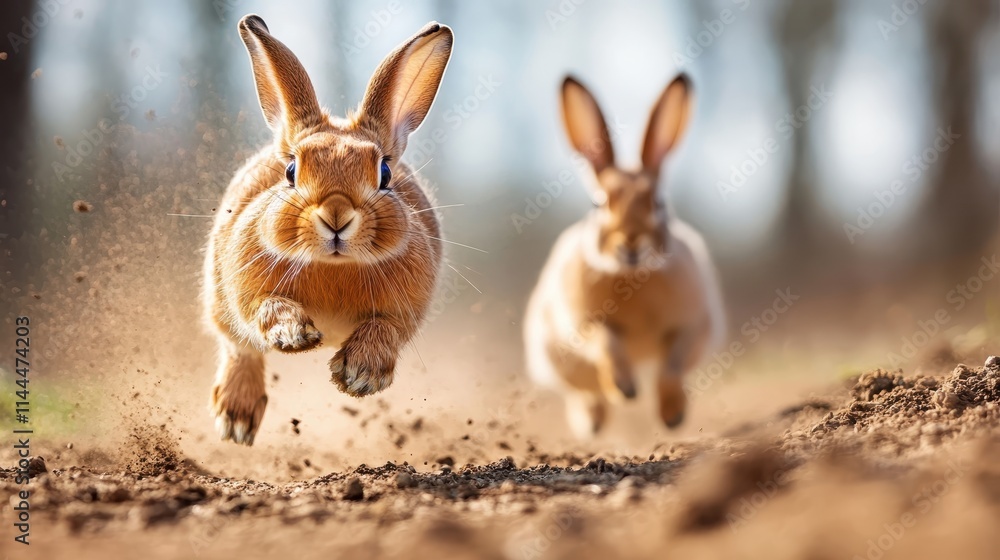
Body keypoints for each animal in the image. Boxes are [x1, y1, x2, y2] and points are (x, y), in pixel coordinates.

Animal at [203, 15, 453, 445]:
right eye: (291, 171)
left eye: (384, 173)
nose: (336, 214)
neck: (333, 266)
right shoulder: (246, 291)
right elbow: (265, 310)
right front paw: (294, 335)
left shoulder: (402, 312)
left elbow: (384, 329)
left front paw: (359, 375)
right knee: (238, 348)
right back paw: (236, 420)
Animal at [523, 74, 725, 439]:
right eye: (598, 203)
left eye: (659, 202)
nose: (630, 243)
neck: (633, 276)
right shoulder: (585, 324)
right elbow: (607, 345)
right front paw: (625, 389)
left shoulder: (691, 325)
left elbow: (672, 367)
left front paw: (672, 416)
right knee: (586, 391)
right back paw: (592, 421)